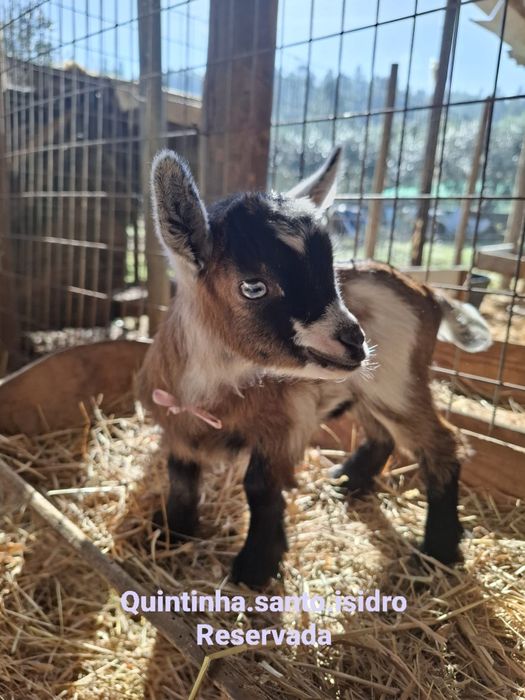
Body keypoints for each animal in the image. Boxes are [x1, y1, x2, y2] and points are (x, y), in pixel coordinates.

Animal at [137, 148, 491, 588]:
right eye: (253, 285)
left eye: (330, 272)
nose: (355, 341)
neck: (212, 397)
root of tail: (430, 293)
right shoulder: (177, 427)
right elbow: (181, 478)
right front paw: (171, 533)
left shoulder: (285, 424)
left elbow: (261, 487)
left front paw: (255, 566)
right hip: (366, 385)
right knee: (381, 435)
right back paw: (346, 482)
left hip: (396, 382)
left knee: (442, 442)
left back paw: (438, 551)